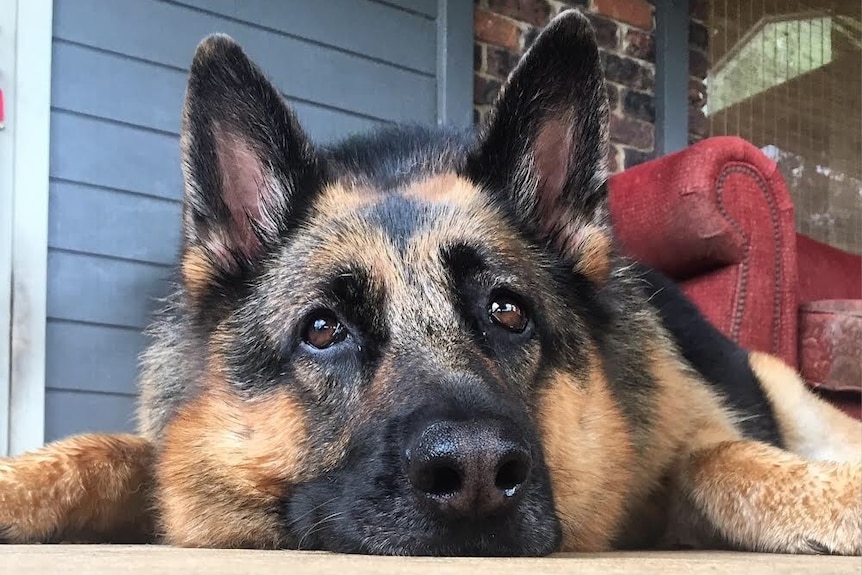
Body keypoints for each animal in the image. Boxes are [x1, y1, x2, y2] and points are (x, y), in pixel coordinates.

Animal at [1, 10, 862, 560]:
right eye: (323, 328)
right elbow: (98, 451)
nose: (476, 471)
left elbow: (720, 459)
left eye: (508, 311)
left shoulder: (684, 454)